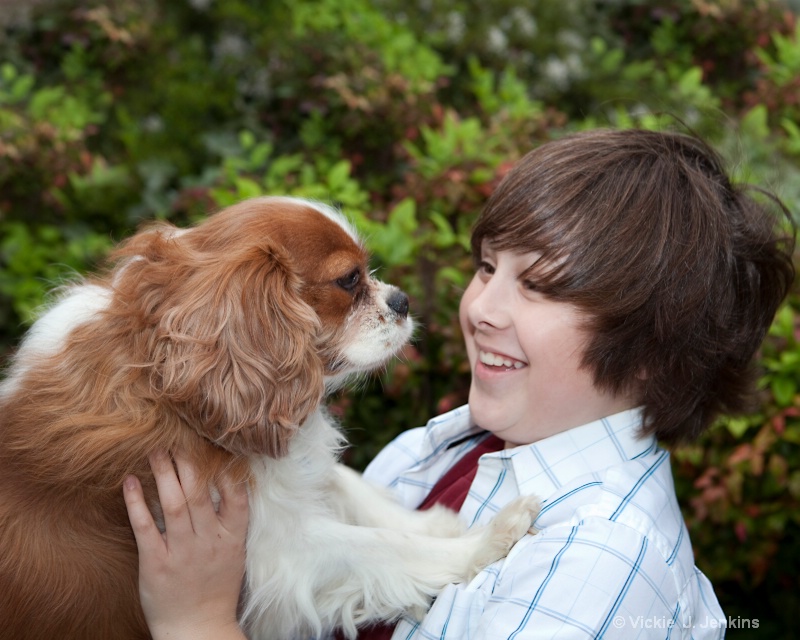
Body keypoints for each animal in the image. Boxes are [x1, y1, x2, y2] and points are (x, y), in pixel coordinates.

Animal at [0, 195, 540, 640]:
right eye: (349, 280)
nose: (402, 301)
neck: (162, 378)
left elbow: (348, 486)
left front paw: (436, 523)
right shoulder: (277, 553)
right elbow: (382, 545)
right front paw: (483, 541)